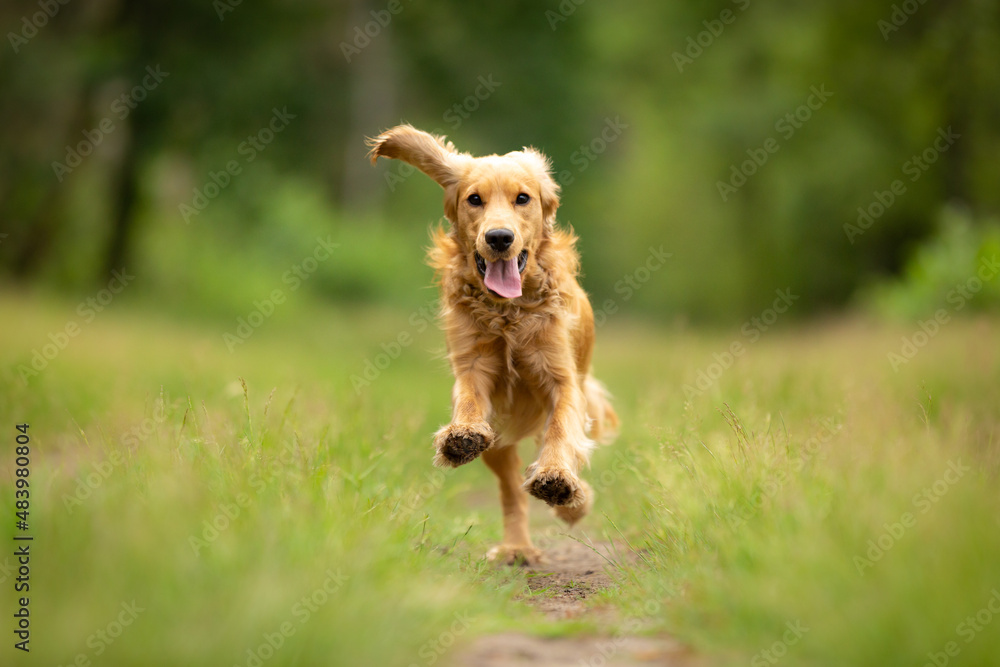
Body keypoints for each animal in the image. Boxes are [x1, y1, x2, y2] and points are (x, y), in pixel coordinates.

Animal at [368, 126, 616, 564]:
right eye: (474, 199)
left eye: (523, 198)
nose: (499, 238)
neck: (508, 312)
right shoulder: (474, 367)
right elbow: (469, 400)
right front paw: (461, 435)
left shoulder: (564, 380)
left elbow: (562, 432)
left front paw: (557, 479)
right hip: (501, 439)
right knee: (510, 488)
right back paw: (517, 546)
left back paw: (573, 502)